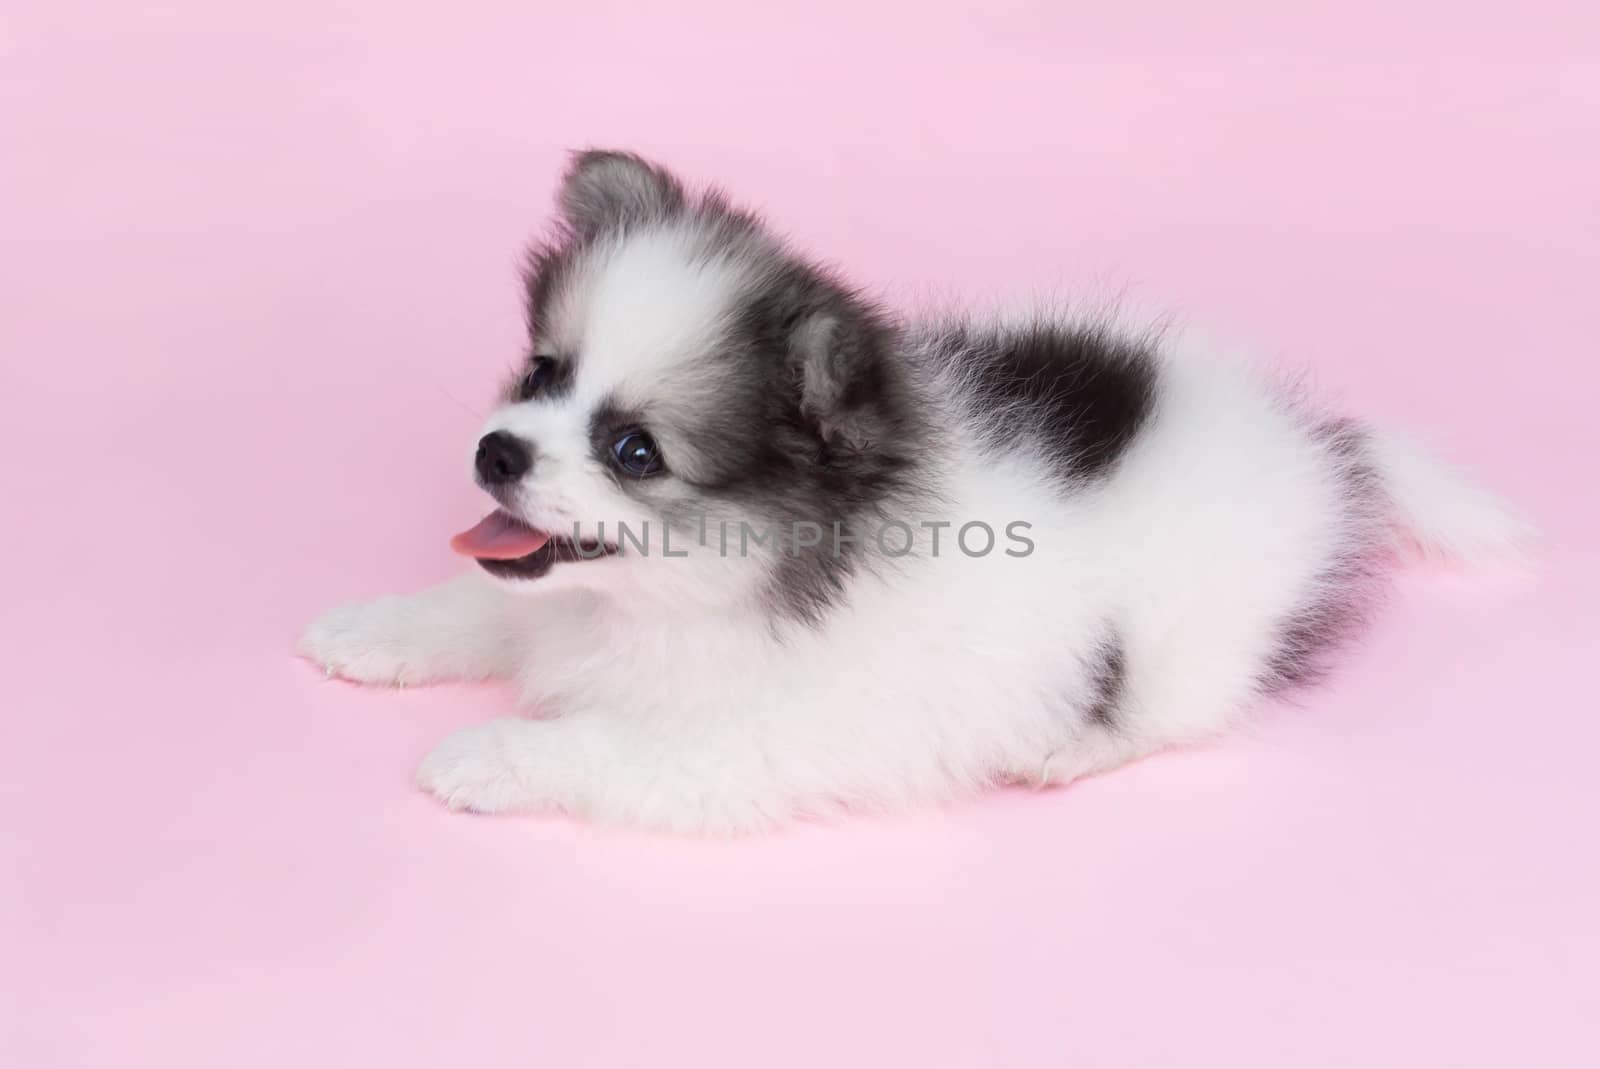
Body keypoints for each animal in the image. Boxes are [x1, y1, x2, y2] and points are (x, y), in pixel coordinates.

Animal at [297, 150, 1523, 832]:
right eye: (542, 372)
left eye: (634, 451)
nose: (497, 453)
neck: (674, 603)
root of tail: (1322, 444)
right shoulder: (548, 598)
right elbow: (482, 603)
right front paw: (372, 630)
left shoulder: (748, 743)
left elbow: (596, 743)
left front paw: (482, 755)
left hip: (1189, 641)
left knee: (1172, 710)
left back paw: (1066, 748)